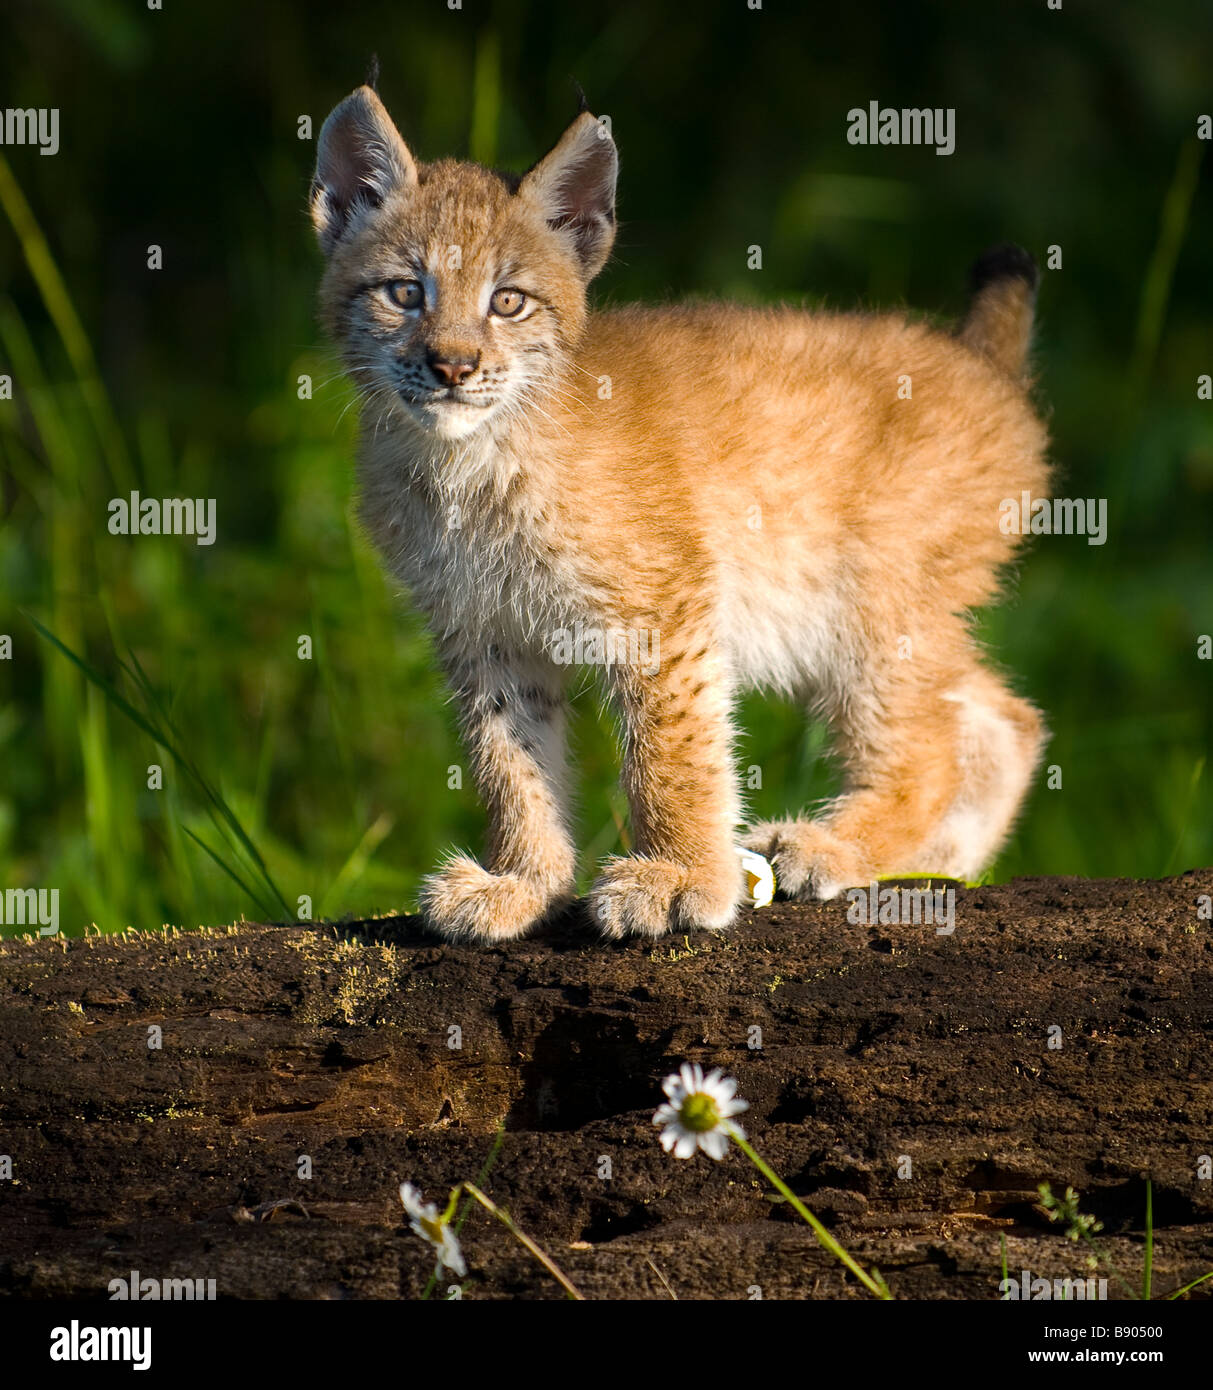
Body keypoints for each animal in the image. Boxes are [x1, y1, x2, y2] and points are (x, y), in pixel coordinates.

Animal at [307, 81, 1044, 939]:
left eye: (508, 303)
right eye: (404, 293)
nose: (452, 366)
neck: (464, 459)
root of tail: (977, 361)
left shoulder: (664, 600)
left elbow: (670, 752)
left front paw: (680, 877)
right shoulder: (481, 629)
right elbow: (509, 762)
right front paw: (523, 882)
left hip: (865, 601)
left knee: (930, 750)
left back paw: (835, 848)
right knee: (1005, 718)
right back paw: (939, 866)